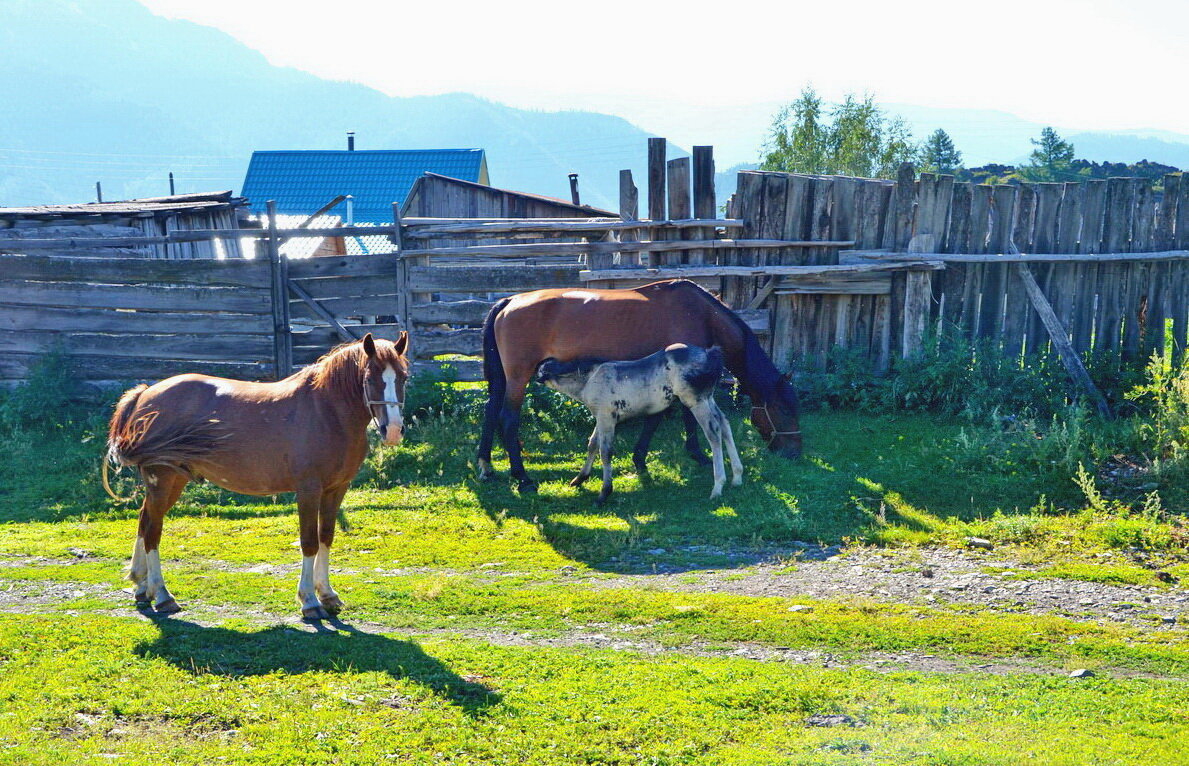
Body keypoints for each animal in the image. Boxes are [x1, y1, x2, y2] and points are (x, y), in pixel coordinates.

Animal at [108, 333, 413, 618]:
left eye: (403, 377)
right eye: (370, 377)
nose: (392, 431)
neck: (327, 411)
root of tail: (146, 394)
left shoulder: (336, 489)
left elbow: (326, 537)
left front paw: (327, 594)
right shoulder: (309, 490)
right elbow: (309, 541)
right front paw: (309, 601)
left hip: (174, 481)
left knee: (145, 518)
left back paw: (141, 585)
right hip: (162, 479)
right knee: (152, 531)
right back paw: (161, 594)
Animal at [477, 279, 803, 490]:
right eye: (785, 410)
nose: (794, 454)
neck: (702, 314)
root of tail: (509, 301)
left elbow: (656, 417)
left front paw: (640, 458)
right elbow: (681, 418)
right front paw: (696, 454)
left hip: (505, 378)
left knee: (491, 412)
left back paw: (486, 466)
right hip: (519, 376)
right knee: (508, 419)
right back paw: (522, 478)